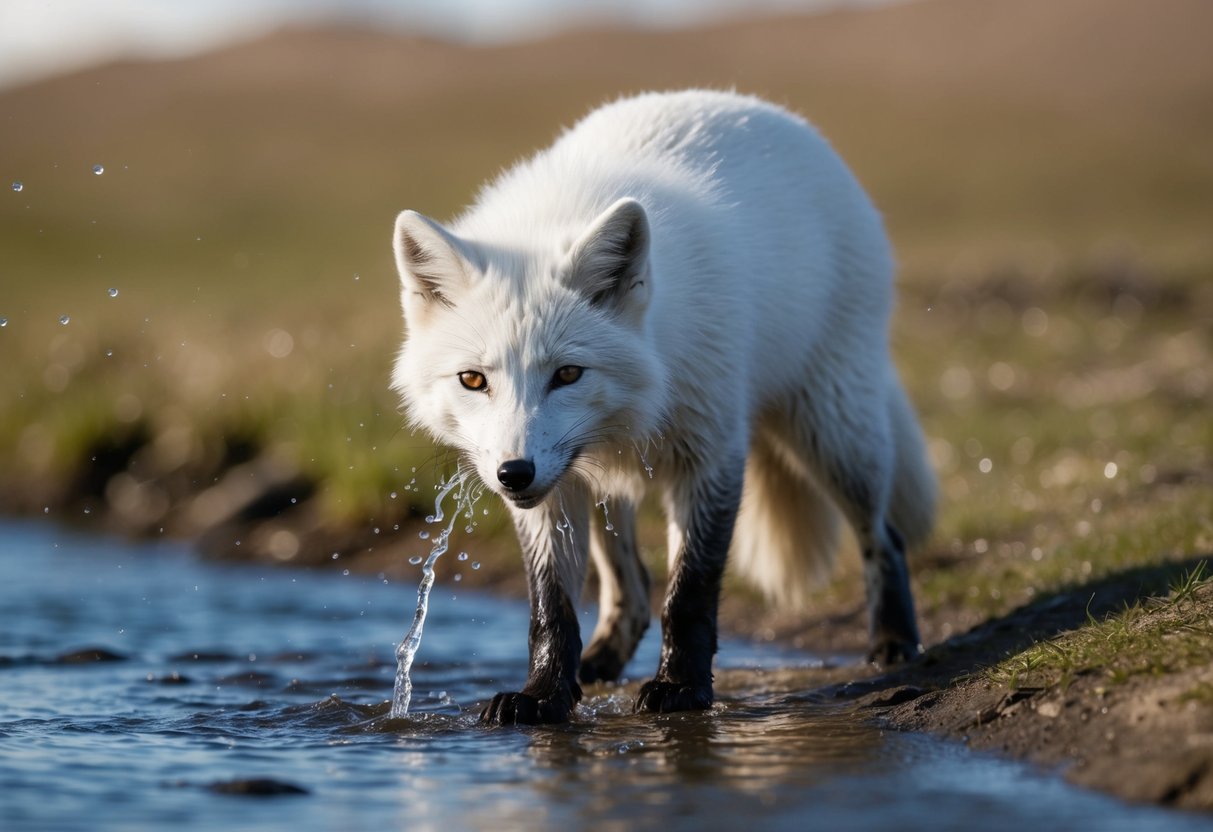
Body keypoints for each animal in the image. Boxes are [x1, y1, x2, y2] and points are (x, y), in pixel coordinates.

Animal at [390, 89, 935, 725]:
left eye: (568, 374)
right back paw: (600, 661)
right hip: (602, 482)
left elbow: (690, 594)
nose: (513, 474)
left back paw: (893, 640)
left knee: (885, 539)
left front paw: (681, 688)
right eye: (473, 380)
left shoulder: (712, 456)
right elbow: (552, 610)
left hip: (835, 433)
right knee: (628, 586)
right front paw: (545, 694)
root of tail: (752, 105)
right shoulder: (555, 493)